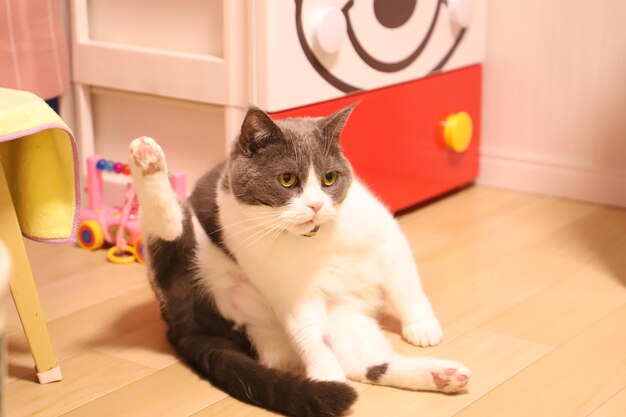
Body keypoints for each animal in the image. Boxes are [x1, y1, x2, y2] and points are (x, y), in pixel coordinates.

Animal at [127, 105, 468, 416]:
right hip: (187, 266)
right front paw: (328, 381)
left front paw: (422, 327)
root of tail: (185, 329)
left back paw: (442, 376)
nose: (316, 205)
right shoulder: (290, 290)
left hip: (346, 322)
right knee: (171, 235)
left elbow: (405, 284)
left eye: (330, 178)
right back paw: (148, 160)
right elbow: (310, 334)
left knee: (369, 363)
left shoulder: (385, 238)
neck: (314, 240)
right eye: (287, 179)